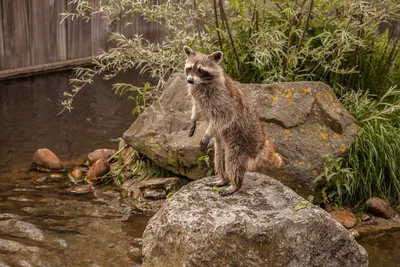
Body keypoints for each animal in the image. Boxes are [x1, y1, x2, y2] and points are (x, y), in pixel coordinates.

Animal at [183, 46, 282, 196]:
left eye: (200, 70)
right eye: (189, 68)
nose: (189, 80)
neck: (202, 83)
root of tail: (261, 143)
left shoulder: (222, 98)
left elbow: (224, 116)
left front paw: (207, 133)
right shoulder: (198, 96)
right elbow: (197, 108)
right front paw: (193, 119)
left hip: (241, 142)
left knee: (233, 161)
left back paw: (235, 184)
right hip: (222, 142)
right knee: (219, 157)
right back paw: (223, 178)